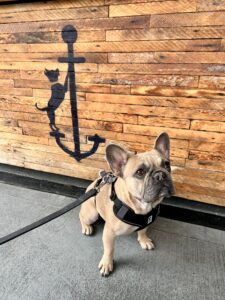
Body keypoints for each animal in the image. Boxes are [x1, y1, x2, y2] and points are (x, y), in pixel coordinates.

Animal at [80, 133, 175, 276]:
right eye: (140, 172)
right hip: (92, 214)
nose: (161, 174)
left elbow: (143, 230)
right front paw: (107, 264)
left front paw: (144, 240)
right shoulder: (109, 233)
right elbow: (109, 250)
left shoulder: (145, 223)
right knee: (81, 216)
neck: (141, 206)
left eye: (167, 165)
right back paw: (86, 227)